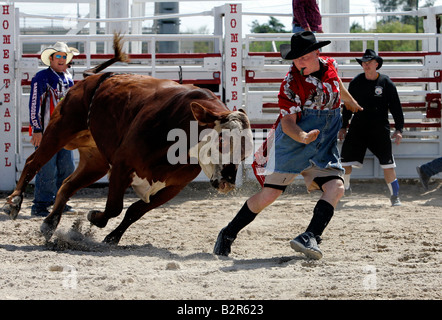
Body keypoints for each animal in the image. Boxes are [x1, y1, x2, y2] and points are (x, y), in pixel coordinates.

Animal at [2, 35, 252, 245]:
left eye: (246, 152)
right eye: (221, 142)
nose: (228, 182)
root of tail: (91, 79)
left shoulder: (173, 186)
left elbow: (135, 210)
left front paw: (112, 237)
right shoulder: (122, 165)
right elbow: (115, 207)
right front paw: (95, 217)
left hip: (96, 161)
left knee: (67, 184)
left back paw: (49, 223)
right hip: (59, 129)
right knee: (33, 162)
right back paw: (15, 201)